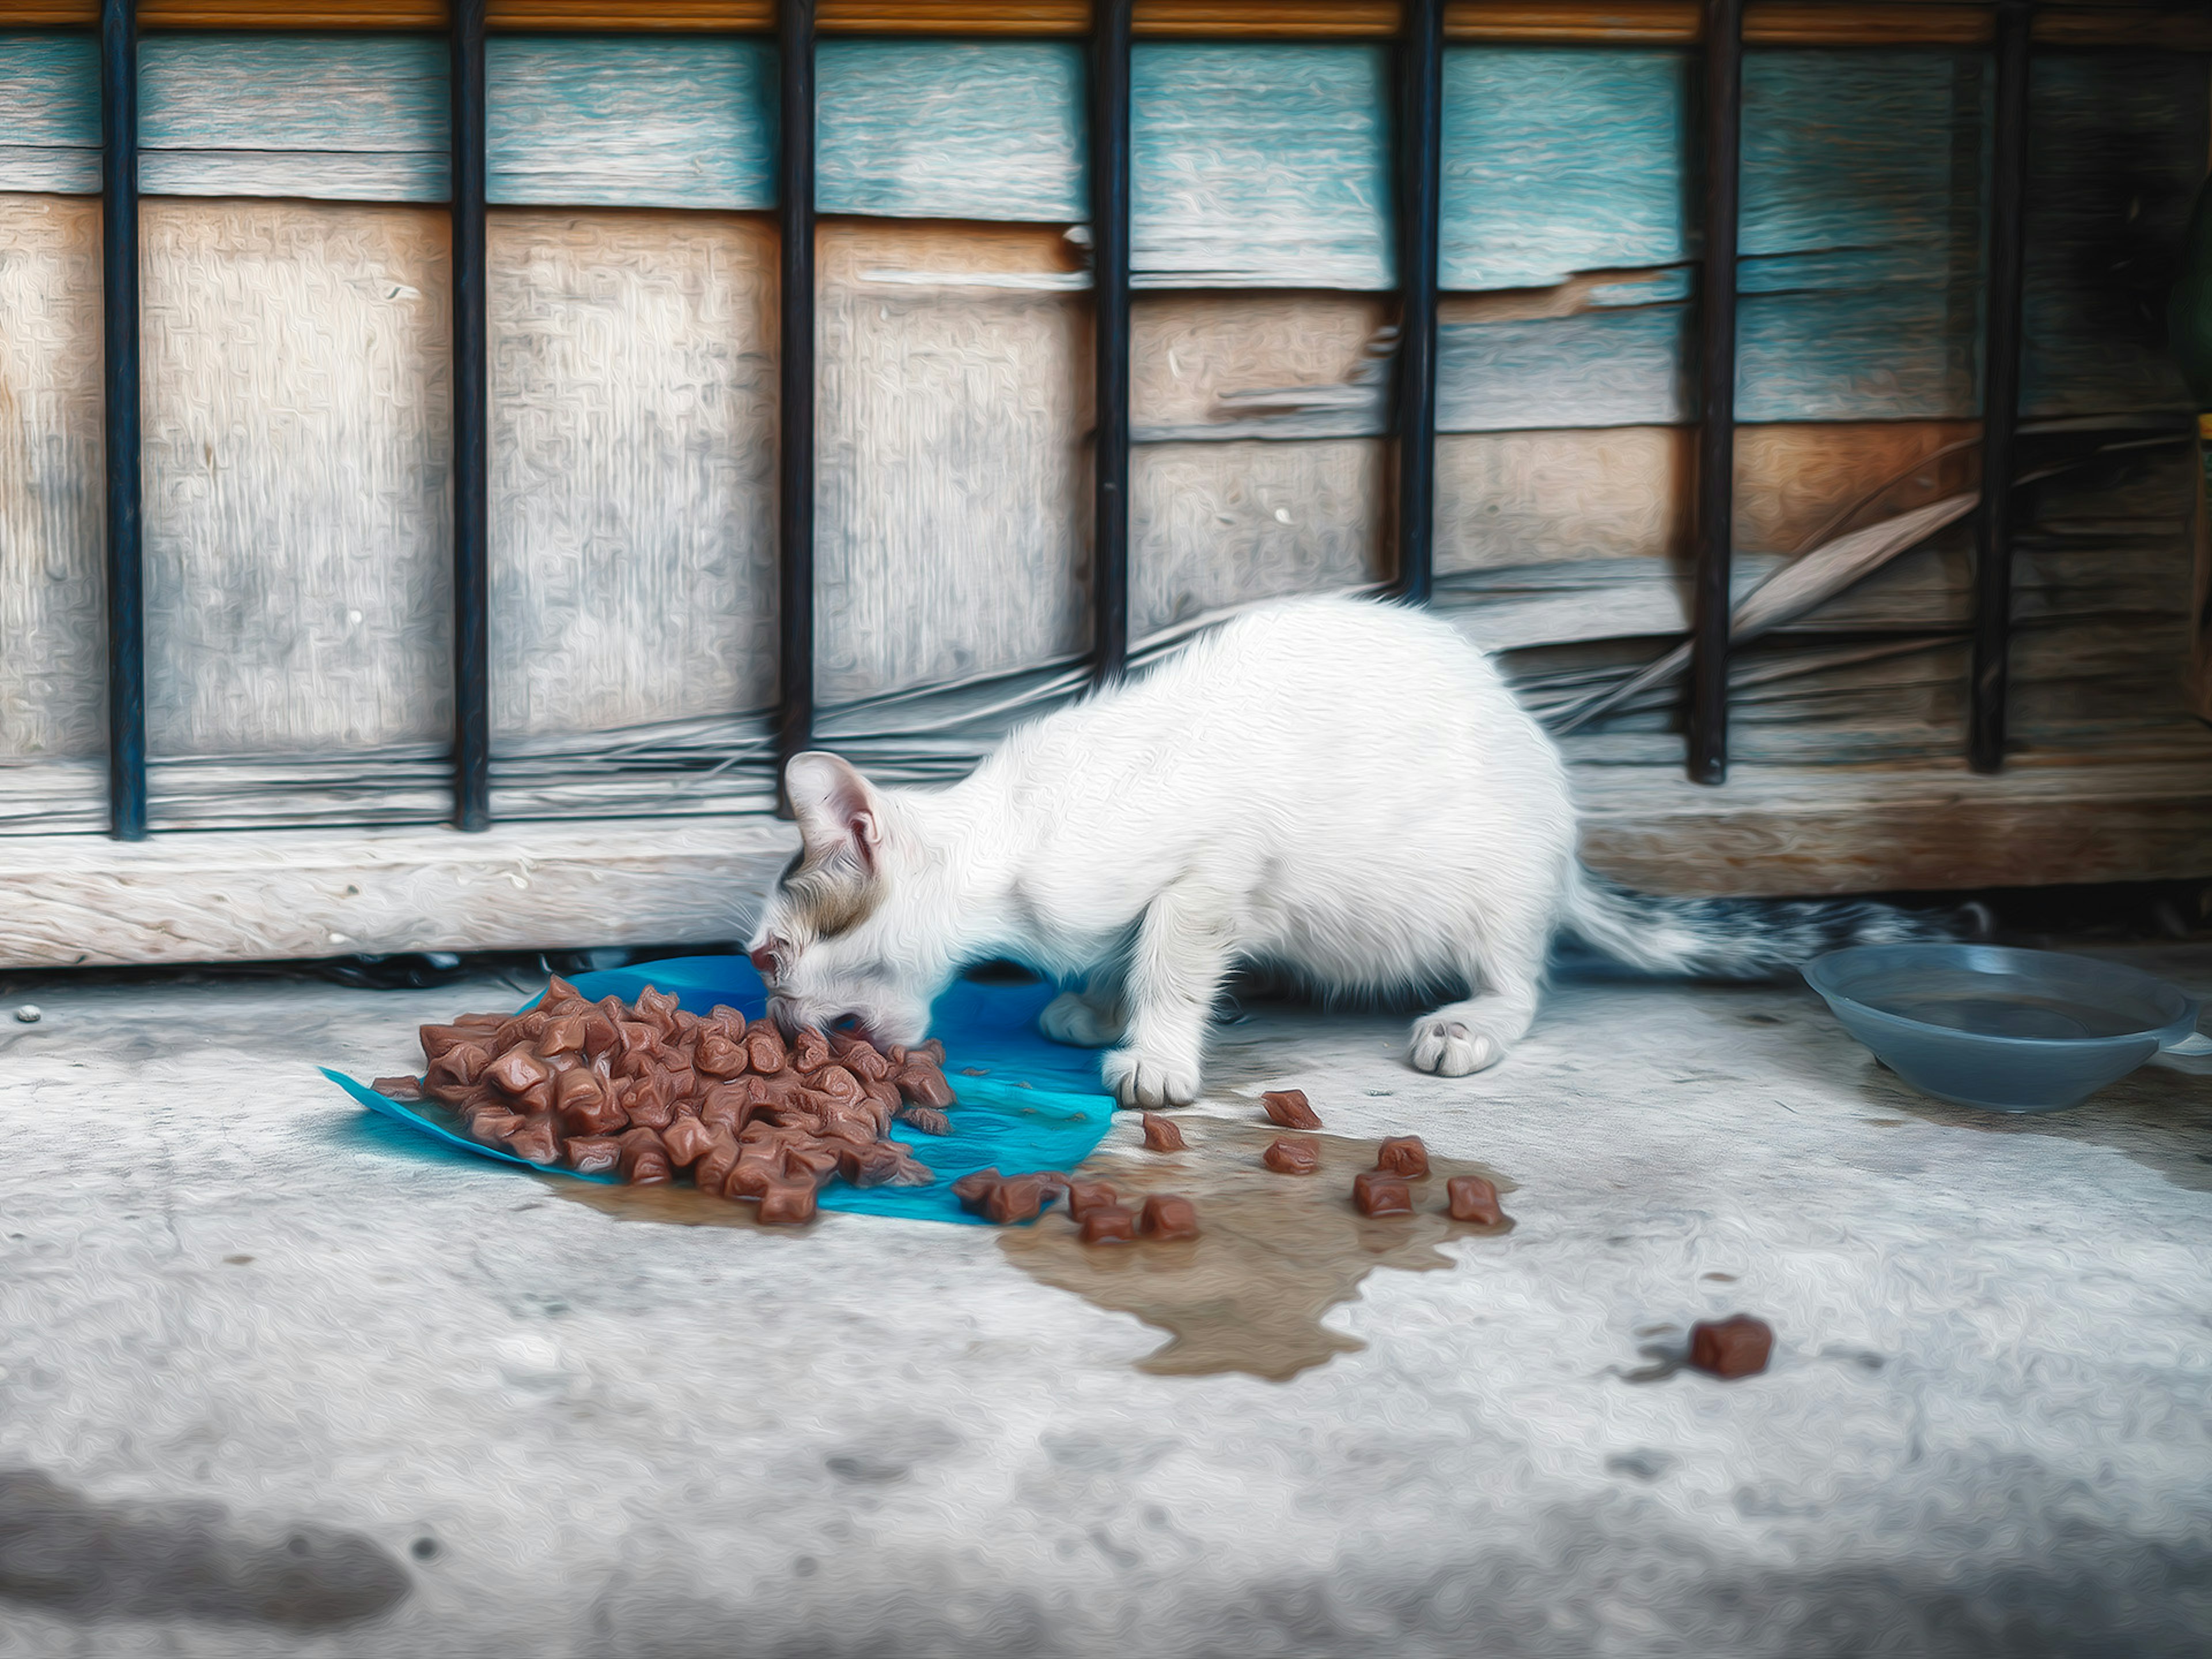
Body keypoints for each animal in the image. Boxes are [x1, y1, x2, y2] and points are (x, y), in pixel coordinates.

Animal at [747, 593, 1955, 1110]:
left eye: (770, 956)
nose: (777, 1021)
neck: (1013, 837)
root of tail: (1563, 845)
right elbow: (1123, 952)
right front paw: (1095, 1001)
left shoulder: (1213, 868)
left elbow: (1172, 955)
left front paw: (1155, 1045)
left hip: (1493, 882)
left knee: (1527, 981)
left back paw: (1474, 1022)